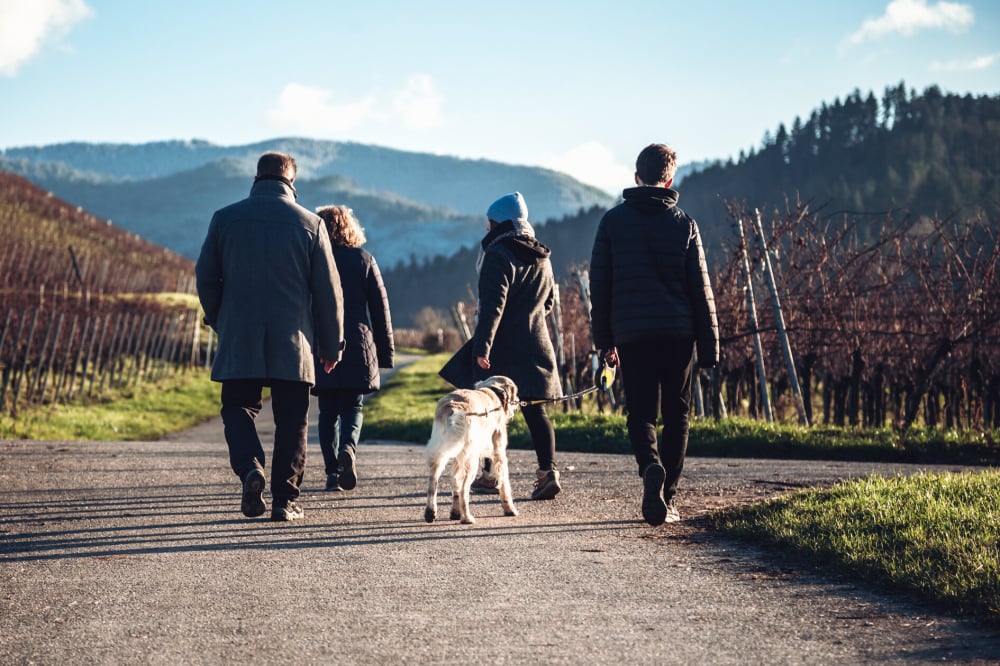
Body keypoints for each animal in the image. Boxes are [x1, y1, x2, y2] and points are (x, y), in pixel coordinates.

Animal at [424, 374, 520, 524]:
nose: (519, 402)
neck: (493, 392)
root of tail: (454, 407)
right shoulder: (499, 454)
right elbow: (505, 484)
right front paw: (509, 509)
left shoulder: (458, 458)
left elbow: (455, 485)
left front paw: (455, 513)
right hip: (471, 460)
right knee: (464, 489)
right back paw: (467, 518)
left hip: (440, 453)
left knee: (433, 484)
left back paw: (430, 512)